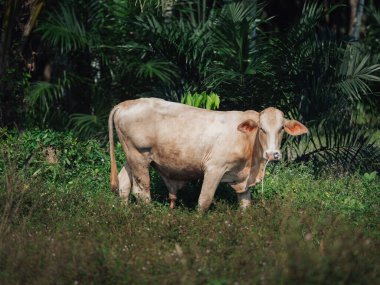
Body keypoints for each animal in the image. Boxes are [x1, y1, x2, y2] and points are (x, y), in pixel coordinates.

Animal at [108, 97, 308, 211]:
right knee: (142, 192)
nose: (273, 154)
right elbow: (204, 201)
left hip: (131, 157)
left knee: (124, 184)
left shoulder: (242, 180)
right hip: (139, 157)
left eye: (281, 128)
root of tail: (125, 104)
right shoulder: (214, 169)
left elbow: (245, 205)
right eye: (262, 129)